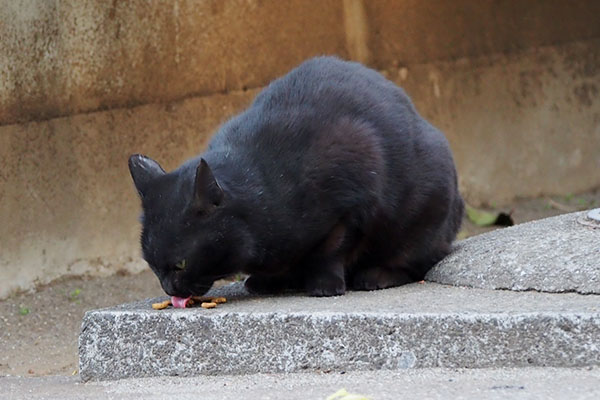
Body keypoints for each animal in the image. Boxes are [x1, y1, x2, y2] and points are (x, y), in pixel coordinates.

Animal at [127, 56, 464, 296]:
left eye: (181, 264)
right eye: (151, 264)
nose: (168, 289)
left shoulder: (351, 204)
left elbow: (331, 251)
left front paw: (324, 284)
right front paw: (269, 279)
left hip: (422, 214)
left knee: (415, 259)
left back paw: (377, 275)